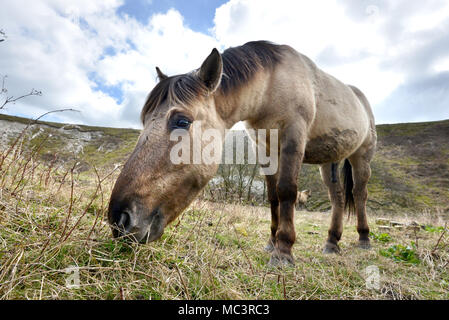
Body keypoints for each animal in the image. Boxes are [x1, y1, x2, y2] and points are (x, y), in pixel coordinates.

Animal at [107, 40, 374, 264]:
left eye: (182, 121)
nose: (119, 220)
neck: (271, 86)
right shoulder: (264, 149)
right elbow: (273, 196)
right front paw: (272, 242)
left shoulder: (293, 137)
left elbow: (287, 191)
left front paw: (283, 250)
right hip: (330, 160)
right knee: (337, 198)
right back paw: (332, 242)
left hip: (361, 156)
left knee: (359, 194)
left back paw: (364, 239)